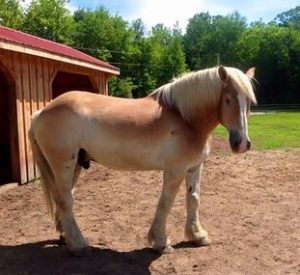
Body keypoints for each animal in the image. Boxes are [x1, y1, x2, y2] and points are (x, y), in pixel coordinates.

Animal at [29, 66, 256, 256]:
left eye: (249, 102)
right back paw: (79, 245)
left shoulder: (194, 168)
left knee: (66, 198)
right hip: (63, 165)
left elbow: (193, 199)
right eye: (228, 100)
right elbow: (166, 203)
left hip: (75, 164)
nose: (242, 143)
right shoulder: (175, 171)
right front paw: (161, 242)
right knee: (65, 200)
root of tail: (41, 112)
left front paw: (197, 235)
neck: (185, 118)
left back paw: (64, 236)